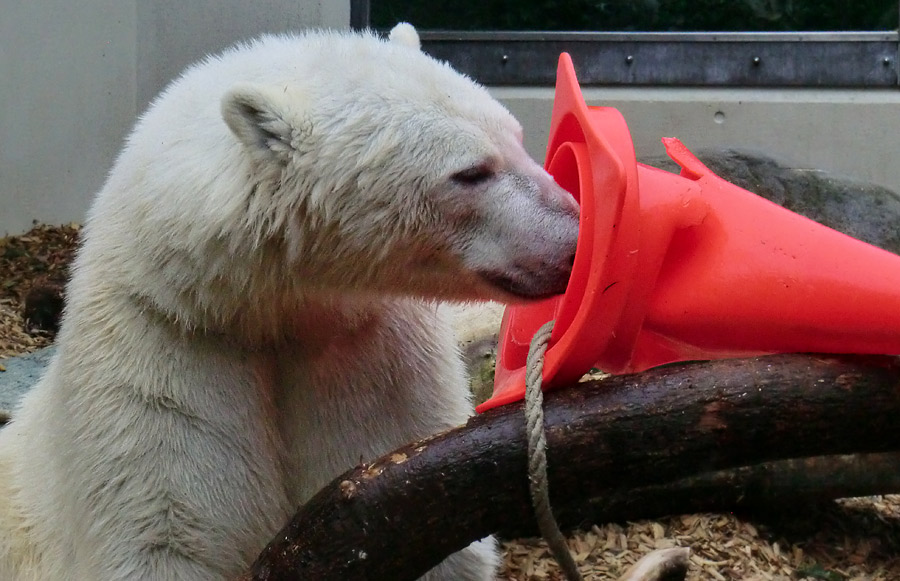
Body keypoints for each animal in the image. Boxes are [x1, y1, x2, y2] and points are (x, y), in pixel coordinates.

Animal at [0, 23, 580, 580]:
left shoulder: (371, 355)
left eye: (517, 137)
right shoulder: (164, 355)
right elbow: (166, 533)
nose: (574, 237)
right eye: (470, 172)